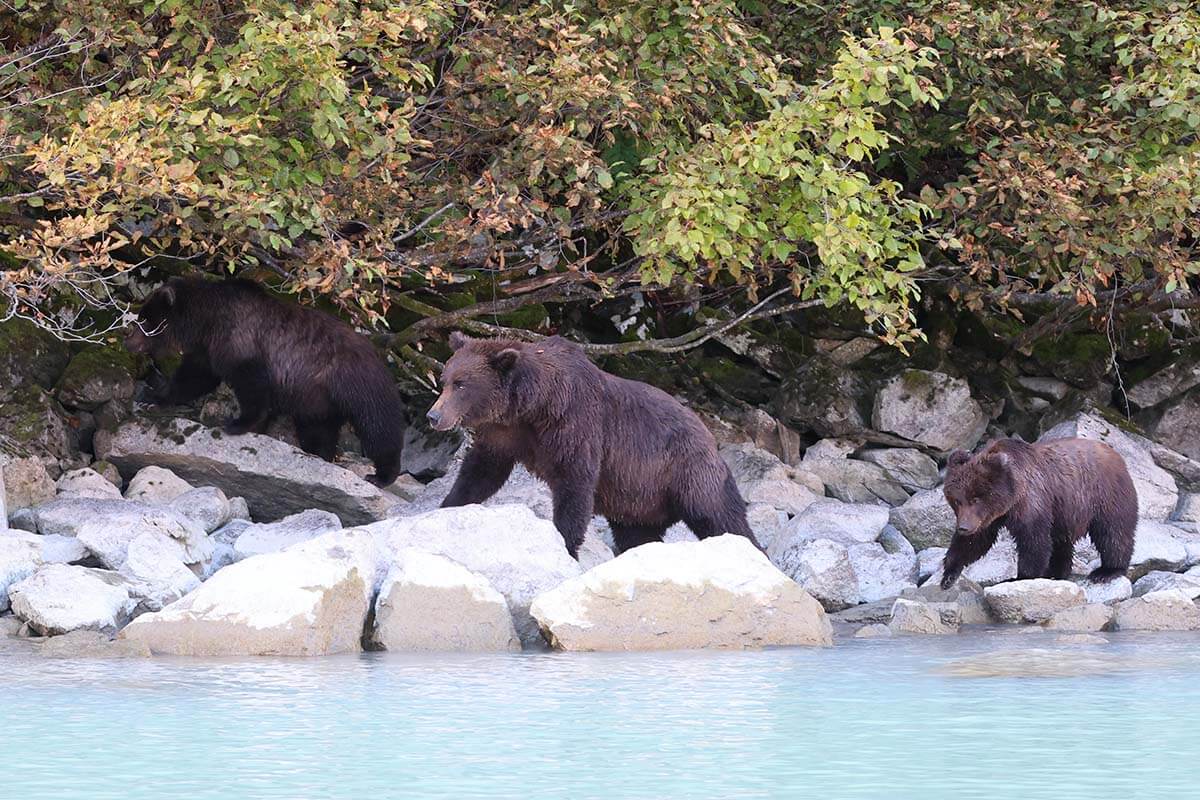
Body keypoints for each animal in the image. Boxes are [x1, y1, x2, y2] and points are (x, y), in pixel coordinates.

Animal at [126, 275, 405, 489]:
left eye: (146, 320)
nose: (130, 342)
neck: (207, 322)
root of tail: (378, 354)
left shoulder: (242, 343)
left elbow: (252, 386)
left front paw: (237, 423)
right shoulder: (208, 350)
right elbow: (193, 378)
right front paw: (154, 395)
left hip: (354, 385)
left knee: (378, 425)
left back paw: (382, 474)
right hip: (318, 401)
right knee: (318, 431)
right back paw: (319, 454)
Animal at [429, 335, 758, 561]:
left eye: (461, 383)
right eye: (445, 380)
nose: (433, 416)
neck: (531, 408)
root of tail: (710, 438)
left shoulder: (574, 427)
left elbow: (575, 487)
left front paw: (566, 545)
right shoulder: (504, 435)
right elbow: (480, 473)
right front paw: (448, 506)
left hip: (686, 472)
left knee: (718, 515)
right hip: (639, 499)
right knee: (637, 534)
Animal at [940, 434, 1137, 592]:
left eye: (975, 499)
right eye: (957, 500)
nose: (963, 527)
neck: (1012, 496)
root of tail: (1115, 454)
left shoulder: (1031, 502)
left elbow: (1034, 540)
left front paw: (1020, 577)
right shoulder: (989, 517)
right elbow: (975, 542)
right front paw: (949, 574)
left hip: (1105, 494)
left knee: (1113, 532)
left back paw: (1107, 571)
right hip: (1064, 512)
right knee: (1062, 542)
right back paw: (1056, 572)